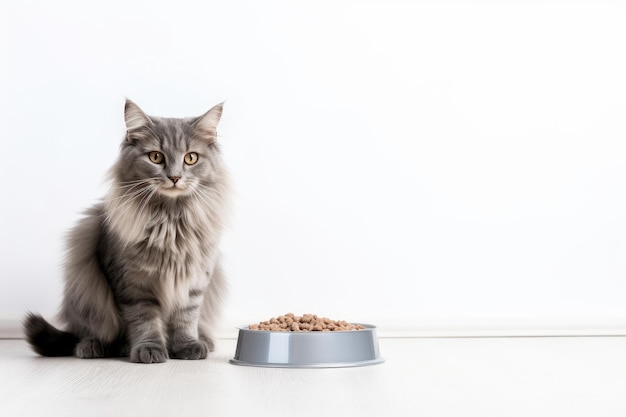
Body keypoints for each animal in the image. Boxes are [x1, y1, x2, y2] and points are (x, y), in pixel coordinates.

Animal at [23, 99, 232, 362]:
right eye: (156, 157)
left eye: (191, 158)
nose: (174, 177)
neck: (170, 221)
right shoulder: (131, 282)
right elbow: (144, 319)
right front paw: (149, 349)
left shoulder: (195, 279)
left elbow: (186, 316)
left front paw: (187, 346)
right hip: (85, 292)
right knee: (87, 332)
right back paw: (96, 346)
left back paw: (204, 341)